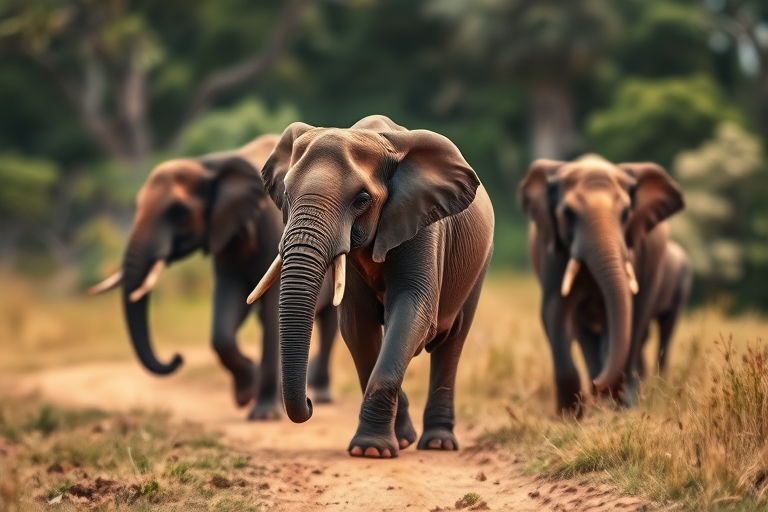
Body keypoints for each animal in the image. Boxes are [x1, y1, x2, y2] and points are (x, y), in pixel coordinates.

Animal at [89, 134, 339, 420]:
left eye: (179, 212)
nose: (177, 357)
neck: (212, 165)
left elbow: (273, 309)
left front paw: (263, 415)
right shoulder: (226, 238)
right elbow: (224, 320)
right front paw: (245, 394)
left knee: (329, 325)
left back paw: (321, 396)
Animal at [245, 115, 495, 458]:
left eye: (362, 200)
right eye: (287, 193)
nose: (310, 402)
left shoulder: (421, 223)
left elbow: (412, 312)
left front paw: (372, 450)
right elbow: (357, 326)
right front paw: (392, 442)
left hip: (479, 265)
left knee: (452, 340)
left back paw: (439, 444)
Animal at [519, 154, 688, 414]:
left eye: (626, 213)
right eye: (568, 213)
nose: (597, 385)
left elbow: (632, 315)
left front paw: (619, 407)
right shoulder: (553, 253)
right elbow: (555, 311)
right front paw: (569, 415)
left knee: (655, 328)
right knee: (584, 332)